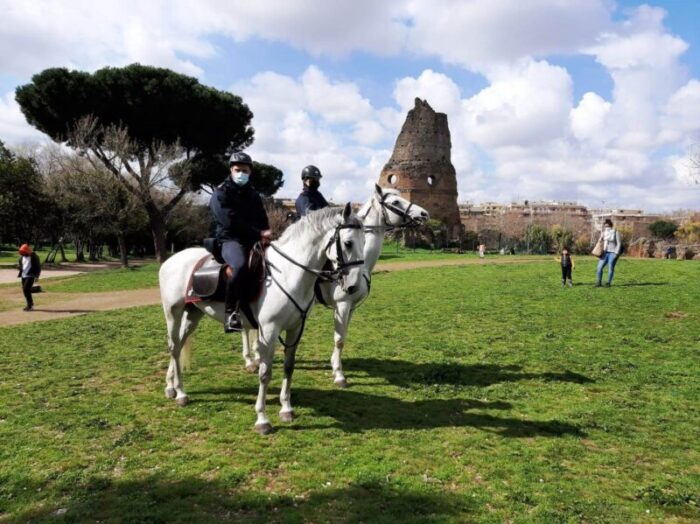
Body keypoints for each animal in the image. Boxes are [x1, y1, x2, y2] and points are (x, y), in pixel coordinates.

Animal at [159, 204, 366, 434]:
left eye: (364, 241)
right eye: (348, 243)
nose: (354, 286)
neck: (288, 273)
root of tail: (171, 260)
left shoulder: (295, 328)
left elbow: (288, 367)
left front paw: (286, 408)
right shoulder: (269, 330)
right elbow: (265, 373)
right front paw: (262, 419)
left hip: (193, 315)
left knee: (178, 345)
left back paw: (171, 387)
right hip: (173, 312)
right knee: (173, 346)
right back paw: (181, 393)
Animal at [314, 184, 430, 384]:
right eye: (395, 202)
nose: (424, 214)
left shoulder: (351, 307)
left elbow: (343, 336)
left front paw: (335, 366)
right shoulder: (342, 305)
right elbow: (339, 339)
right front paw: (339, 375)